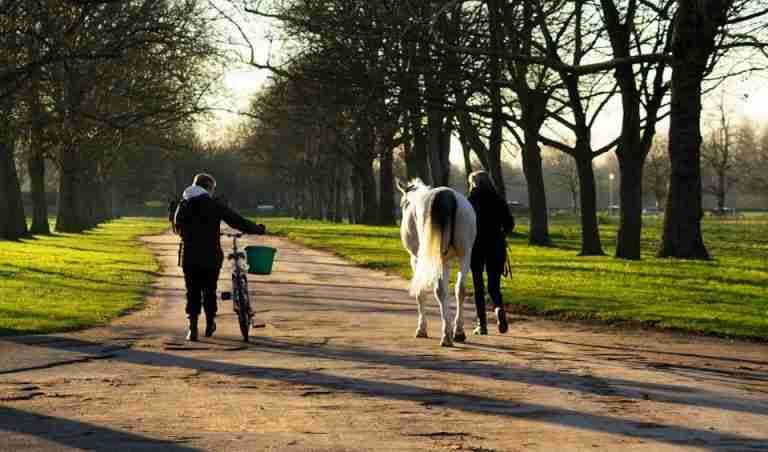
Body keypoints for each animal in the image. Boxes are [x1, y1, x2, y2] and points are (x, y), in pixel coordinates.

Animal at [397, 178, 477, 347]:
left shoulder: (416, 259)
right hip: (465, 255)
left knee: (439, 291)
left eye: (403, 203)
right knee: (460, 289)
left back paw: (446, 336)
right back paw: (458, 331)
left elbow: (421, 292)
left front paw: (421, 329)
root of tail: (446, 194)